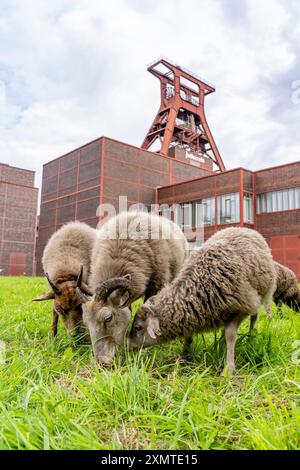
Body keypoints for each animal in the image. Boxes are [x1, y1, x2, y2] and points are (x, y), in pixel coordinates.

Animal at [127, 228, 276, 374]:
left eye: (138, 327)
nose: (128, 346)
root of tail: (244, 229)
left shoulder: (239, 309)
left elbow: (230, 335)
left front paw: (229, 369)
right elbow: (188, 336)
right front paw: (183, 356)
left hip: (261, 295)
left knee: (254, 318)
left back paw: (249, 339)